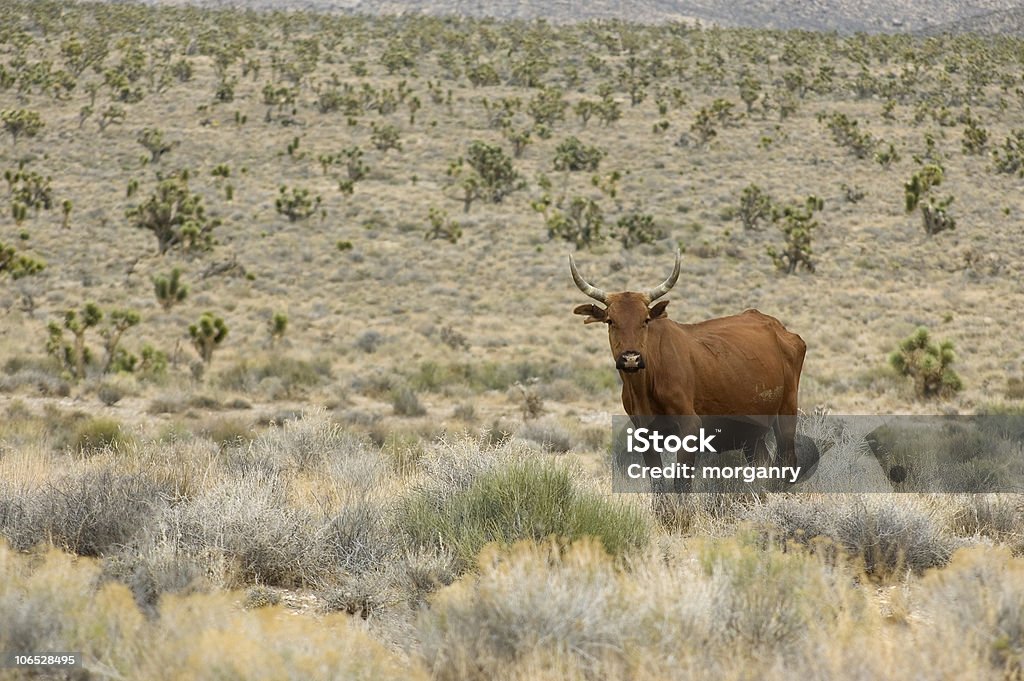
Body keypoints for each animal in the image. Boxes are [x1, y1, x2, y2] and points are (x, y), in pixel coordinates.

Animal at [569, 249, 815, 489]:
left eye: (645, 320)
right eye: (610, 321)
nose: (631, 358)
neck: (645, 386)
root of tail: (780, 328)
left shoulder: (690, 427)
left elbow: (681, 483)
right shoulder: (645, 435)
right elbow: (658, 485)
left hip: (786, 412)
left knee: (787, 463)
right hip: (751, 432)